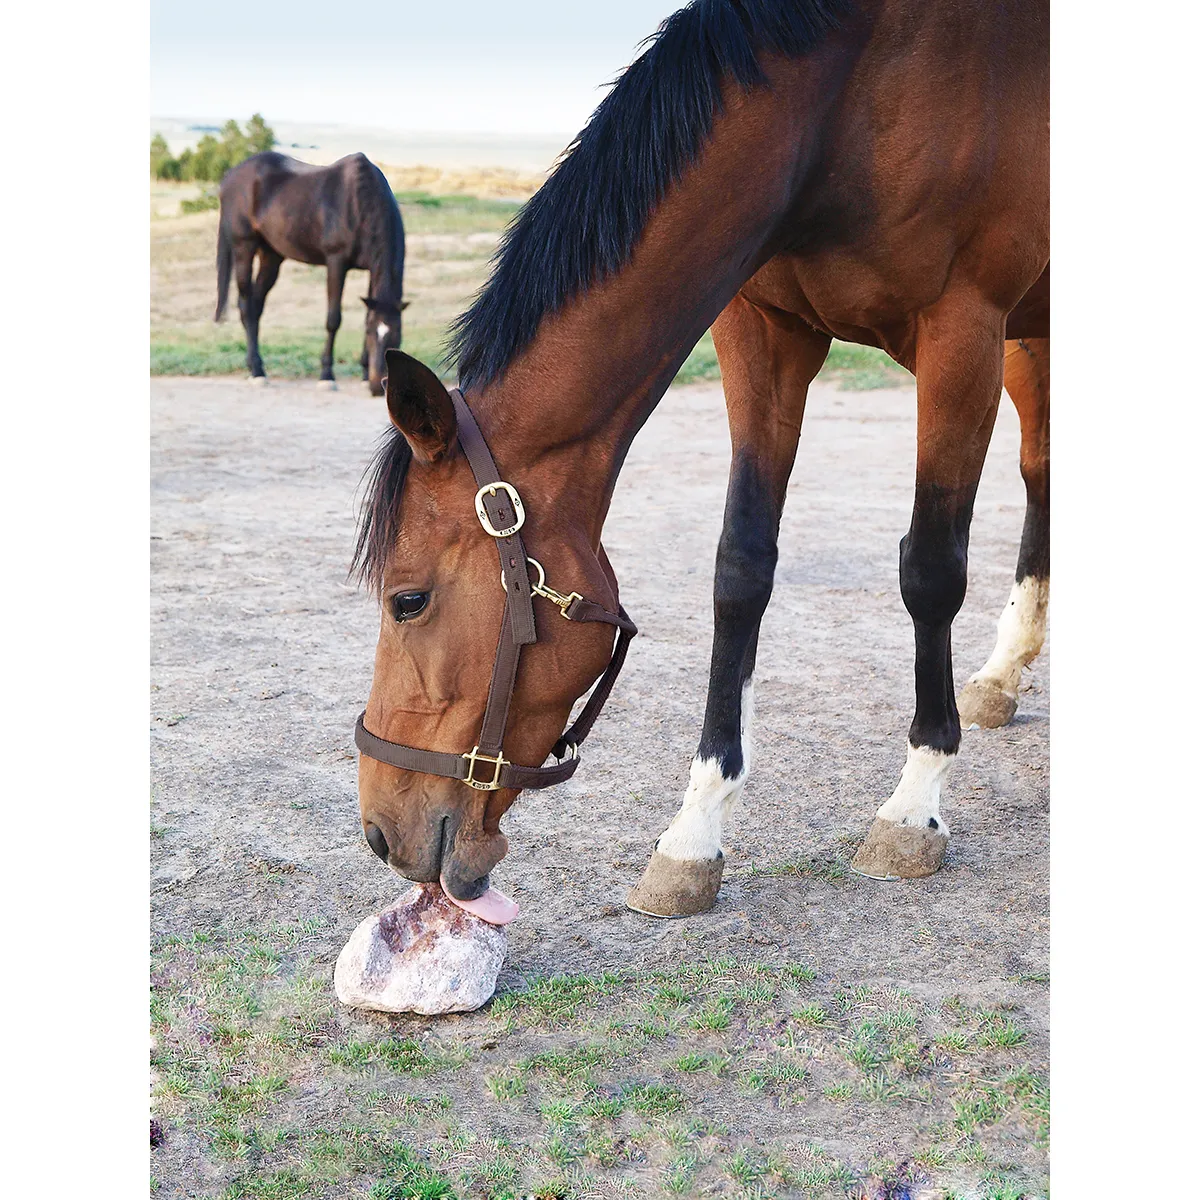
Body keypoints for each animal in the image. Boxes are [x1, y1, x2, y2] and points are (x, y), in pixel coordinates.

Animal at [214, 152, 407, 395]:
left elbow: (367, 313)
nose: (377, 386)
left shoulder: (372, 269)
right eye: (373, 334)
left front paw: (363, 375)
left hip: (271, 255)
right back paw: (257, 372)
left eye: (397, 335)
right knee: (247, 306)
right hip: (243, 248)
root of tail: (228, 178)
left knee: (255, 306)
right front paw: (326, 376)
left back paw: (256, 366)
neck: (361, 203)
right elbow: (333, 319)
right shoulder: (336, 262)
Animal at [349, 0, 1049, 917]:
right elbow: (741, 568)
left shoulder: (962, 333)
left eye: (409, 601)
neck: (850, 103)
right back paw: (1002, 676)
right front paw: (694, 835)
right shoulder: (762, 332)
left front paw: (913, 807)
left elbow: (931, 571)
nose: (378, 831)